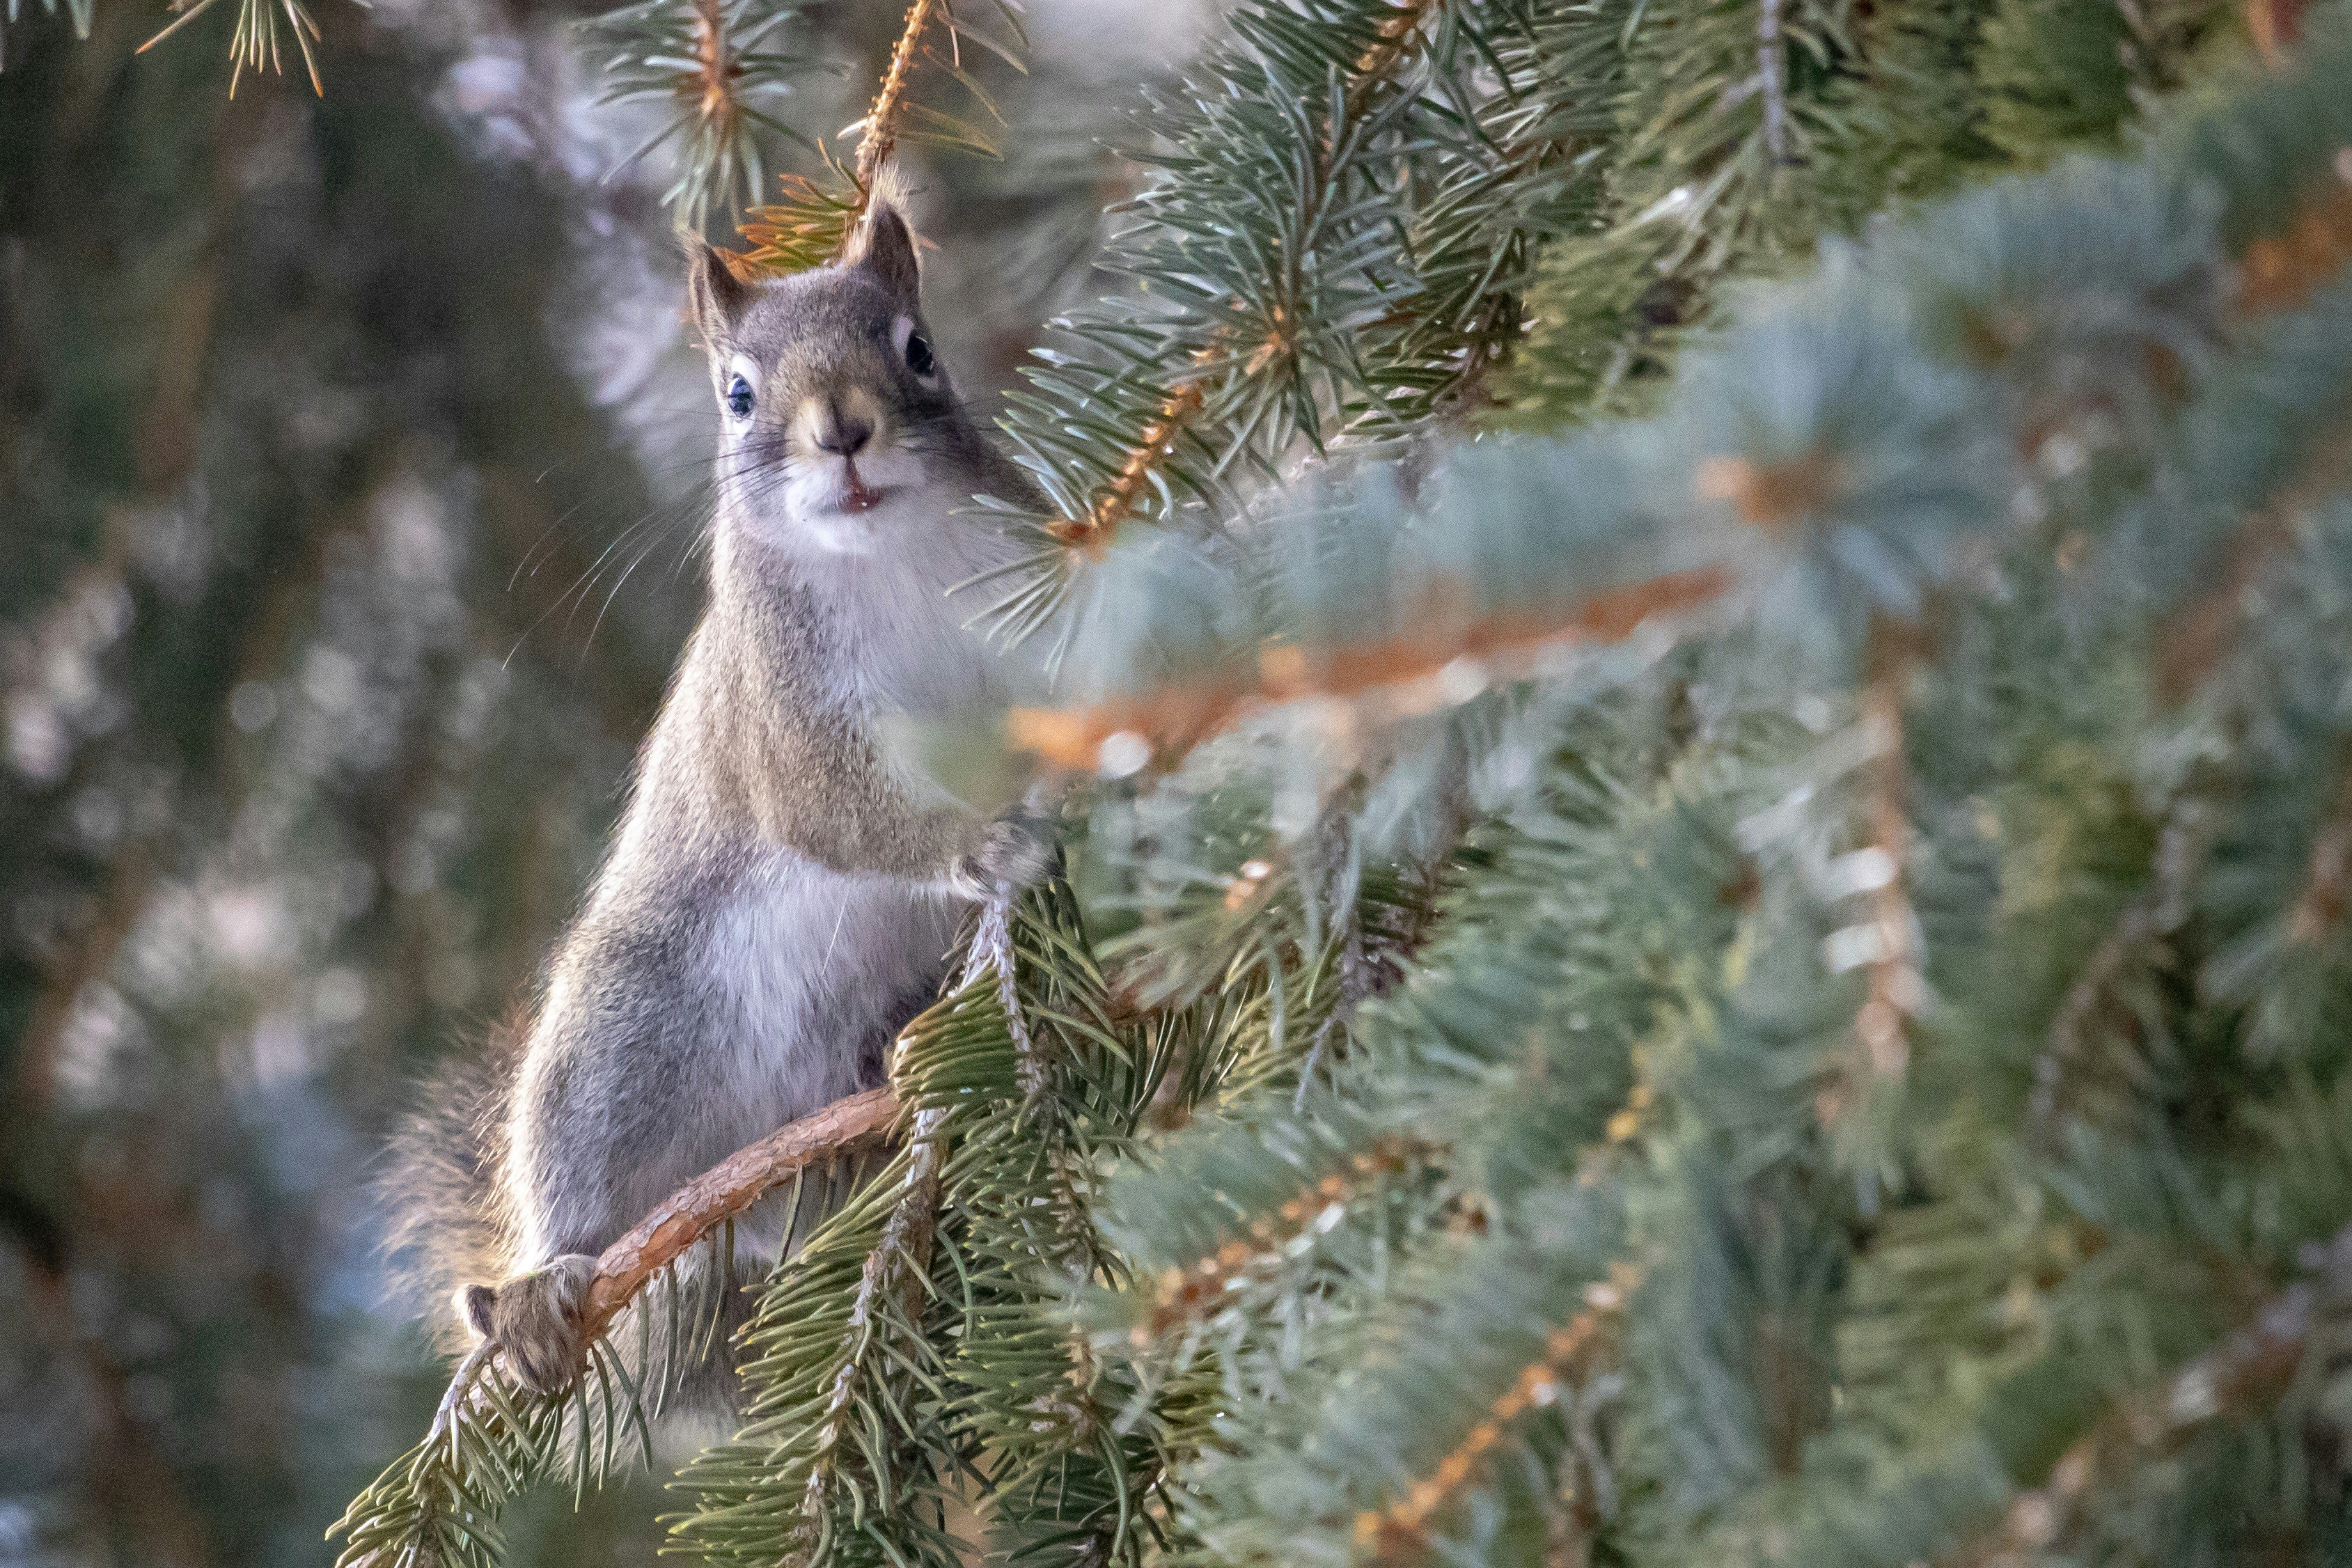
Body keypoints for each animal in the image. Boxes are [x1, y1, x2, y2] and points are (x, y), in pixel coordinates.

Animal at [383, 194, 1050, 1407]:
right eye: (737, 395)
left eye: (917, 349)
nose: (842, 430)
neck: (886, 557)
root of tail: (750, 1220)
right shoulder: (778, 719)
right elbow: (839, 809)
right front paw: (982, 842)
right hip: (623, 1035)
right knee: (577, 1188)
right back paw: (539, 1294)